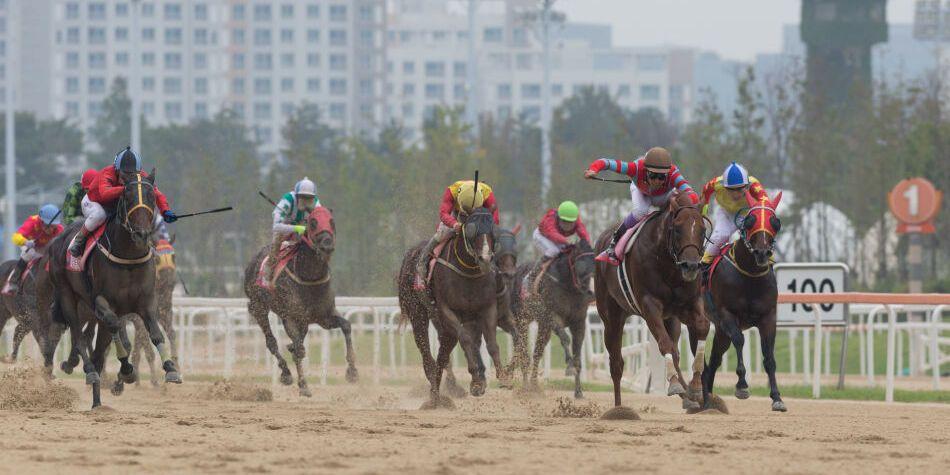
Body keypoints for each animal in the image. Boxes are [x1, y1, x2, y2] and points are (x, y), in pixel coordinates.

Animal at [47, 174, 182, 410]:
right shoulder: (104, 302)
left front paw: (170, 369)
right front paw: (126, 374)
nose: (141, 233)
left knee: (96, 345)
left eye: (152, 197)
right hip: (67, 296)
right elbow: (118, 332)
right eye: (127, 197)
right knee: (78, 335)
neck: (128, 256)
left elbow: (154, 334)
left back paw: (97, 401)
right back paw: (85, 370)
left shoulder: (147, 303)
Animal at [244, 206, 358, 396]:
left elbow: (346, 326)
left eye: (332, 221)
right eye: (312, 222)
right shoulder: (290, 317)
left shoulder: (324, 317)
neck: (309, 278)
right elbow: (299, 349)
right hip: (259, 306)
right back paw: (286, 373)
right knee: (272, 342)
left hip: (302, 321)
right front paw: (303, 385)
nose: (327, 244)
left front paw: (352, 372)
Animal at [398, 208, 506, 410]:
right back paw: (435, 394)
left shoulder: (486, 308)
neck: (469, 271)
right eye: (472, 230)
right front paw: (476, 377)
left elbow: (491, 343)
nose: (485, 258)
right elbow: (465, 339)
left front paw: (501, 377)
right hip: (418, 312)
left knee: (444, 353)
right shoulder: (447, 311)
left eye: (492, 230)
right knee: (426, 350)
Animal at [596, 192, 708, 410]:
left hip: (671, 319)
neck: (669, 265)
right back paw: (619, 407)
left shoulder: (687, 304)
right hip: (612, 316)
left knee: (675, 351)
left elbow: (702, 327)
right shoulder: (650, 306)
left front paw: (695, 387)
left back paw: (687, 396)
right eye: (678, 228)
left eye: (703, 229)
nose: (690, 266)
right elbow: (664, 343)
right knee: (616, 363)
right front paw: (674, 385)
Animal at [704, 193, 792, 412]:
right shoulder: (727, 314)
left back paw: (707, 399)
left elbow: (769, 356)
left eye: (775, 222)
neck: (749, 275)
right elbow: (740, 340)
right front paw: (742, 385)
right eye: (750, 221)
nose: (762, 252)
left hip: (720, 330)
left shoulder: (768, 317)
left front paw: (777, 397)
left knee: (714, 360)